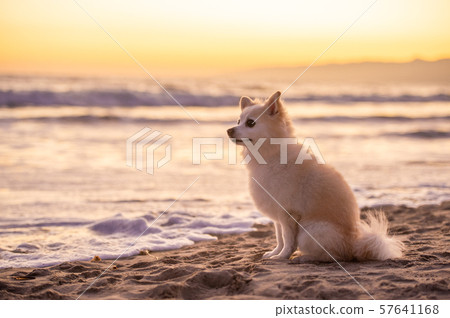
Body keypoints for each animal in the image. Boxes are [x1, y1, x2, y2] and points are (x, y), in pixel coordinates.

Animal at [229, 91, 404, 260]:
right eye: (238, 121)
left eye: (250, 123)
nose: (229, 130)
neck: (271, 155)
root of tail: (354, 245)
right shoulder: (278, 216)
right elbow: (279, 238)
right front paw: (274, 253)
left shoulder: (288, 214)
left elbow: (287, 239)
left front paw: (282, 256)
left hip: (310, 231)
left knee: (335, 256)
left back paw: (305, 258)